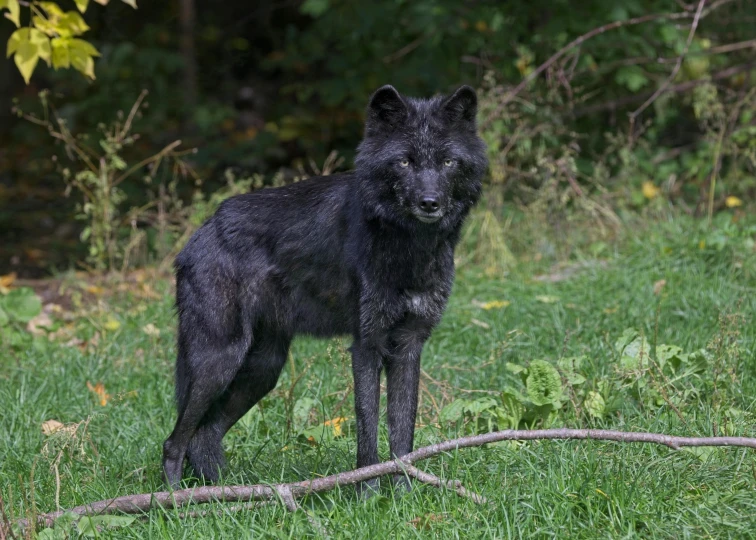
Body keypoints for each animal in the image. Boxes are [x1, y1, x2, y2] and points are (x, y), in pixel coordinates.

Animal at [162, 82, 488, 492]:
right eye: (404, 162)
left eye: (447, 163)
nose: (429, 202)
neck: (409, 249)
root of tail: (198, 235)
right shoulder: (366, 345)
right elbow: (367, 431)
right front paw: (368, 494)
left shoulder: (409, 345)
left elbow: (403, 434)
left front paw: (406, 491)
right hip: (218, 361)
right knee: (175, 441)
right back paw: (175, 498)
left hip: (262, 369)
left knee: (203, 436)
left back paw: (225, 495)